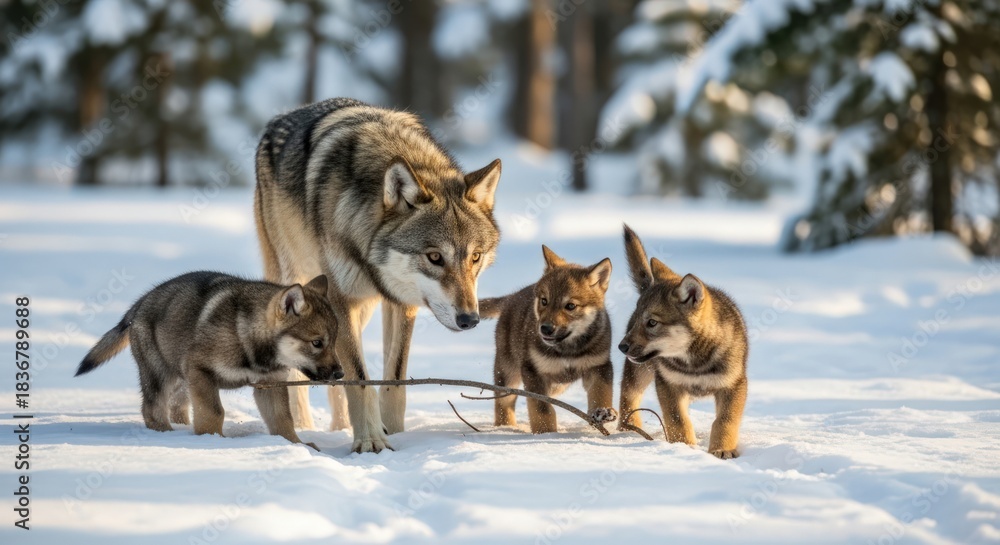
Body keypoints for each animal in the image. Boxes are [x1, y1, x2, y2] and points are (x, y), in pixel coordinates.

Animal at [75, 272, 343, 448]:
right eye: (317, 343)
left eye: (335, 341)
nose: (340, 374)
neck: (246, 336)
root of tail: (139, 304)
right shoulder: (200, 371)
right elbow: (214, 412)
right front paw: (212, 443)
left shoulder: (270, 384)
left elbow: (282, 420)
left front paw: (296, 446)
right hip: (161, 374)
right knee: (152, 410)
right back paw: (167, 436)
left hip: (183, 382)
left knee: (176, 407)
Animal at [254, 97, 502, 452]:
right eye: (435, 257)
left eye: (476, 257)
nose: (470, 320)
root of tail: (279, 118)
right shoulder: (341, 299)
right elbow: (359, 380)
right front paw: (370, 441)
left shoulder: (401, 302)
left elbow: (393, 380)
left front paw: (394, 434)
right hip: (295, 285)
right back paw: (303, 427)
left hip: (363, 308)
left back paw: (340, 427)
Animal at [481, 246, 616, 434]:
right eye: (544, 301)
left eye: (570, 306)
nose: (545, 328)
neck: (567, 350)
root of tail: (511, 297)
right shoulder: (533, 371)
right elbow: (541, 408)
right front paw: (546, 433)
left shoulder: (599, 366)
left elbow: (600, 392)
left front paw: (603, 412)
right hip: (508, 371)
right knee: (503, 401)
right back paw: (505, 427)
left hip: (556, 384)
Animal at [617, 225, 748, 459]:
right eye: (637, 319)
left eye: (652, 322)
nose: (621, 346)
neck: (695, 362)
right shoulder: (668, 384)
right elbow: (677, 420)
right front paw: (684, 447)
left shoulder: (733, 385)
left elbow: (725, 421)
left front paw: (722, 449)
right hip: (639, 372)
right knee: (628, 396)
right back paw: (629, 430)